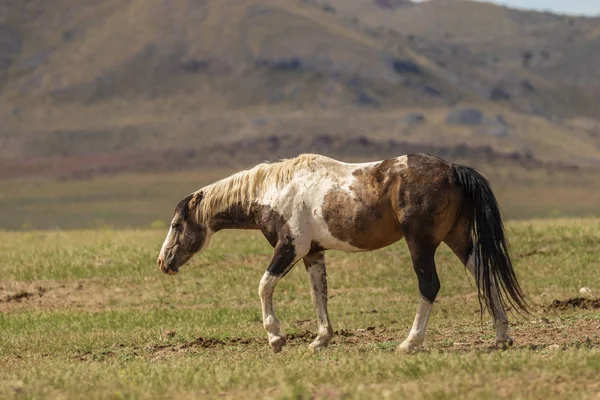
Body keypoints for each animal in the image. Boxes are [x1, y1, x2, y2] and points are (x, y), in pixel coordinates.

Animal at [157, 153, 528, 354]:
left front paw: (276, 338)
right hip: (458, 239)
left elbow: (264, 286)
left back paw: (409, 343)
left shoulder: (289, 247)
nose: (163, 263)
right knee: (483, 274)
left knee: (430, 287)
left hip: (421, 244)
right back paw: (501, 336)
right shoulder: (312, 253)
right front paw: (321, 339)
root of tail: (454, 170)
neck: (274, 191)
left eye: (176, 224)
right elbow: (318, 295)